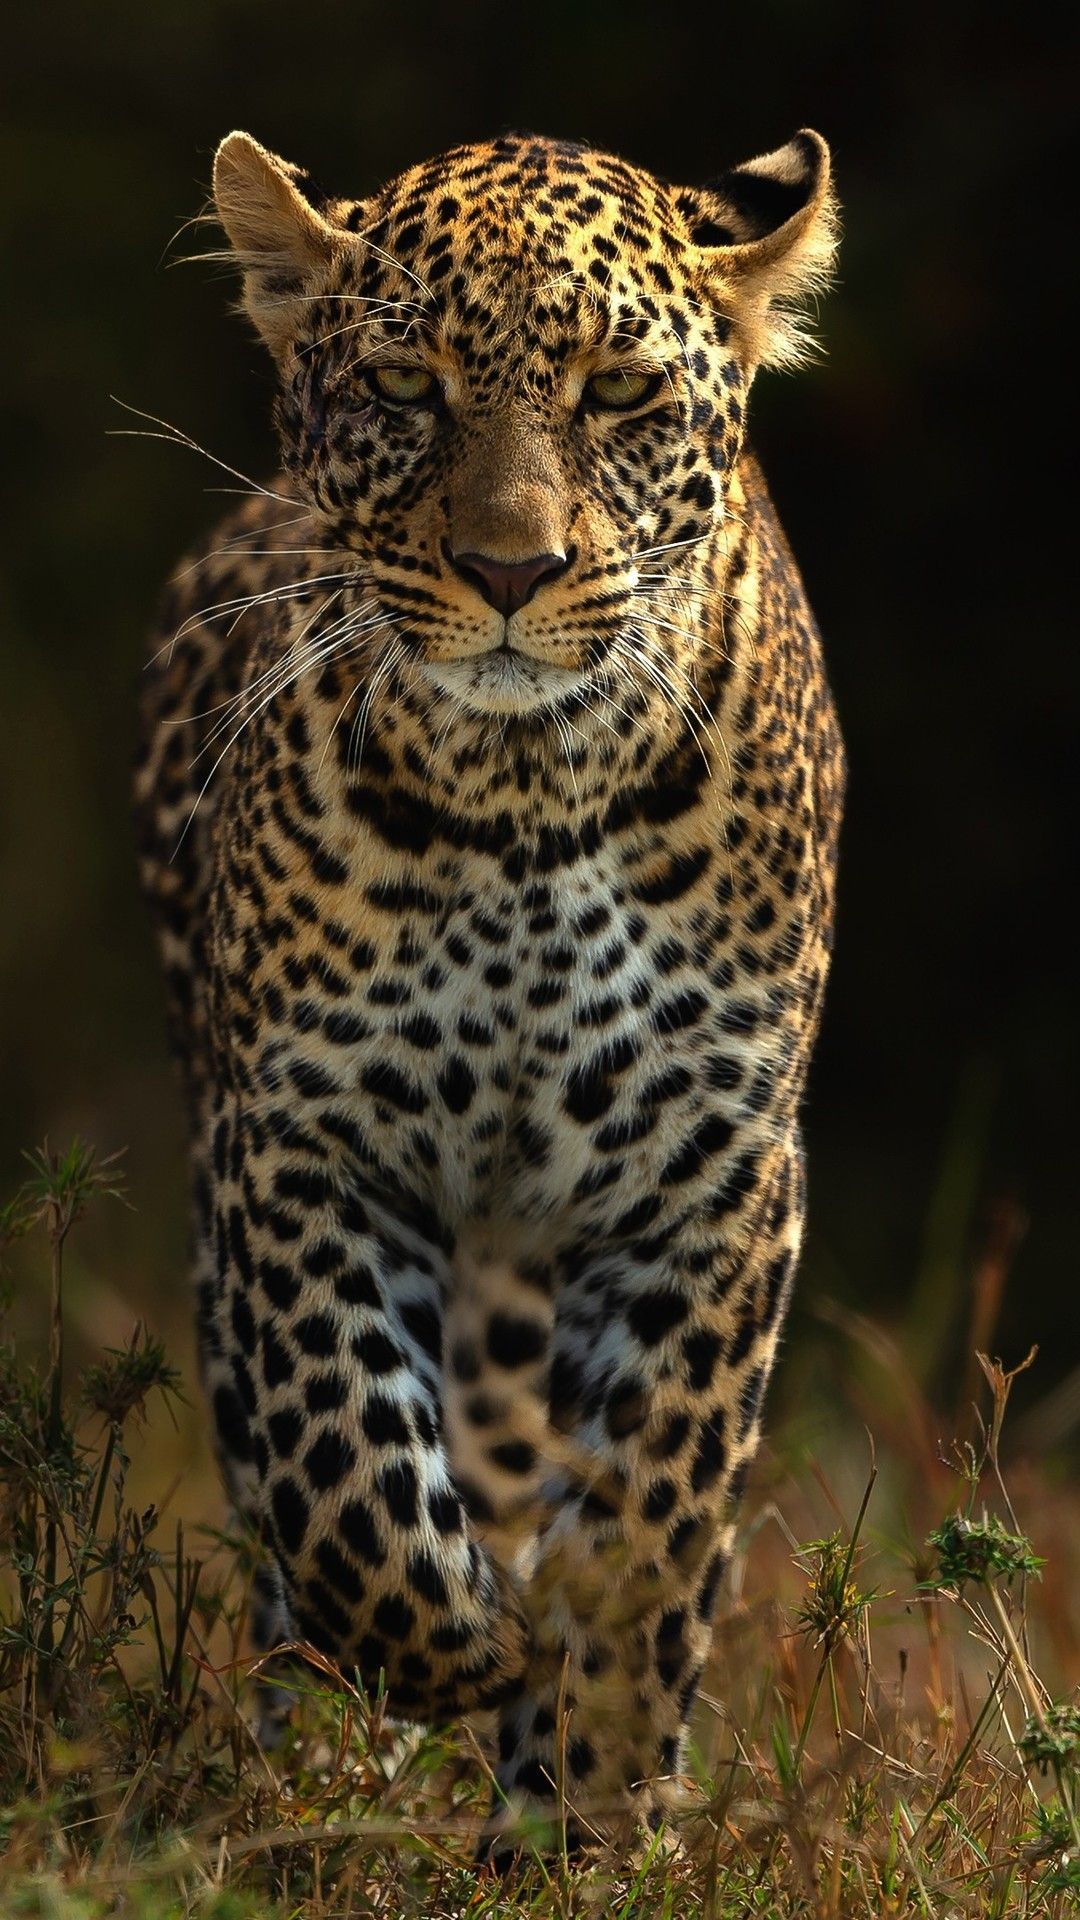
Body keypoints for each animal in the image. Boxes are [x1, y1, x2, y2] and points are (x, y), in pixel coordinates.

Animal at [134, 123, 845, 1857]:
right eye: (404, 384)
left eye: (620, 394)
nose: (510, 569)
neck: (525, 798)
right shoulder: (298, 1136)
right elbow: (338, 1446)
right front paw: (445, 1646)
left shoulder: (714, 1176)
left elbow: (653, 1514)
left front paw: (588, 1805)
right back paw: (325, 1753)